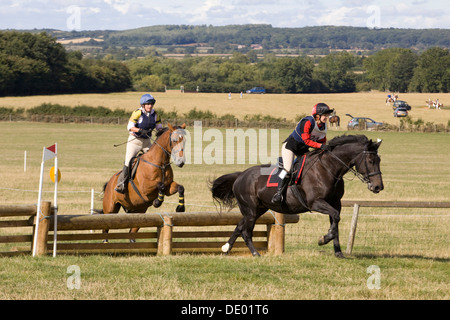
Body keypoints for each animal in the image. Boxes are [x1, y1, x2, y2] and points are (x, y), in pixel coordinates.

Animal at [210, 134, 384, 258]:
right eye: (370, 160)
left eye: (379, 160)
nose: (378, 187)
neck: (329, 168)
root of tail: (240, 175)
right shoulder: (316, 203)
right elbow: (335, 219)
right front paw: (323, 239)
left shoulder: (335, 203)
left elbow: (335, 222)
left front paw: (338, 252)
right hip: (251, 209)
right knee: (246, 231)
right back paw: (255, 253)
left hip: (259, 209)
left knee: (239, 226)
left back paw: (226, 249)